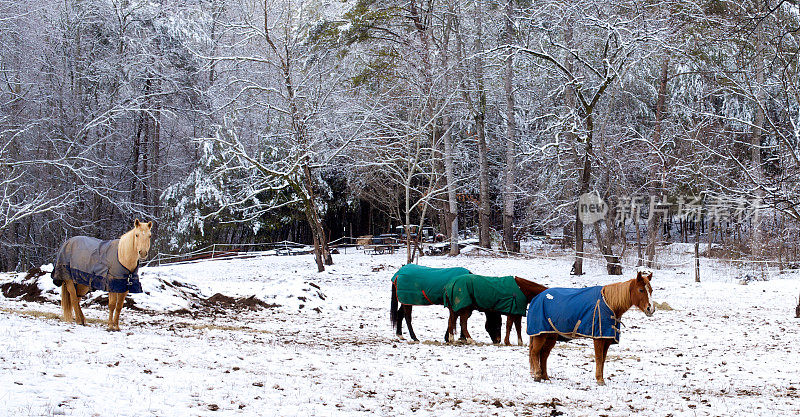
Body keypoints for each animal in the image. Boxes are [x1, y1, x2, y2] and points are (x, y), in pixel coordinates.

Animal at [524, 270, 656, 384]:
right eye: (641, 290)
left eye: (651, 290)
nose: (650, 309)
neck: (609, 304)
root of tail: (537, 298)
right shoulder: (598, 338)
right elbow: (598, 358)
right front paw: (600, 380)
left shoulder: (607, 340)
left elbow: (603, 359)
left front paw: (601, 378)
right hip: (540, 334)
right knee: (535, 352)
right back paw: (537, 375)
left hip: (551, 335)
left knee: (544, 354)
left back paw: (545, 377)